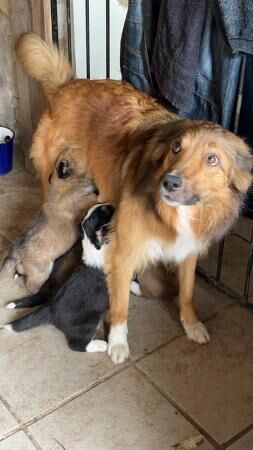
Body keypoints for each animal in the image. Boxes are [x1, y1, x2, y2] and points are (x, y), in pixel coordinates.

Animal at [2, 202, 115, 354]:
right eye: (105, 210)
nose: (111, 204)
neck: (92, 247)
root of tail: (50, 307)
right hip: (90, 320)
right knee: (76, 345)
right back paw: (101, 345)